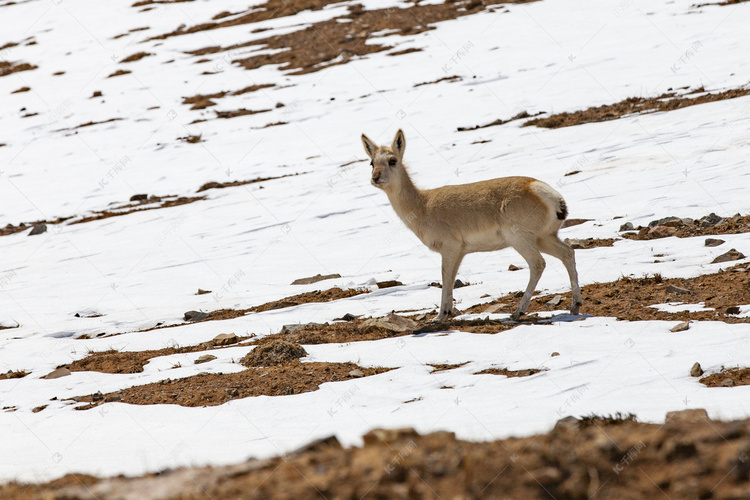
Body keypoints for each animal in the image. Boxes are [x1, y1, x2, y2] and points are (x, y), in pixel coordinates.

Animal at [362, 129, 584, 322]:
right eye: (372, 163)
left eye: (392, 160)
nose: (375, 178)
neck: (423, 204)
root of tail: (545, 192)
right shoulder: (460, 252)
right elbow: (451, 279)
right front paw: (445, 314)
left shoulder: (450, 248)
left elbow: (445, 278)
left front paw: (439, 317)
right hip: (545, 238)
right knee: (568, 253)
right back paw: (575, 306)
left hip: (521, 240)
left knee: (538, 264)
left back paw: (517, 312)